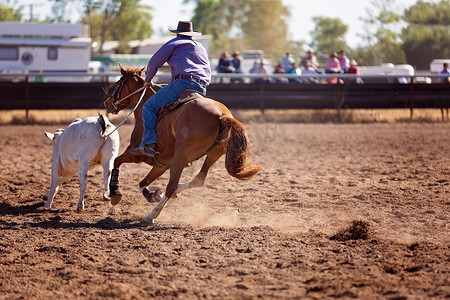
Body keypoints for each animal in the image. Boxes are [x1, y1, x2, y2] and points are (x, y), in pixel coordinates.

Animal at [104, 64, 262, 223]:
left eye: (117, 84)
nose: (107, 103)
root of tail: (221, 116)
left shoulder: (134, 153)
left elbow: (117, 162)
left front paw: (115, 193)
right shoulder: (162, 164)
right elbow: (143, 182)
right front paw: (152, 195)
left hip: (181, 157)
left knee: (171, 186)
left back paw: (151, 215)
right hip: (213, 154)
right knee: (198, 180)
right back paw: (174, 194)